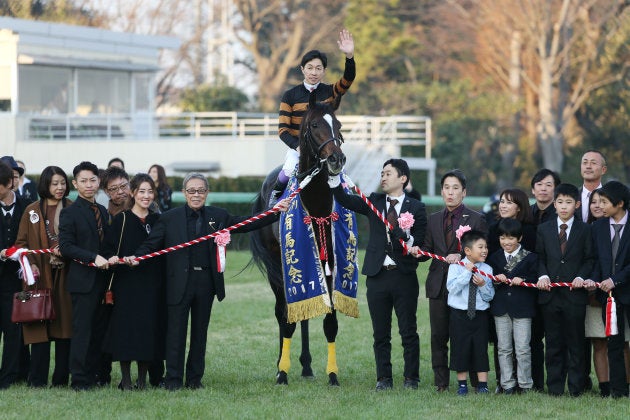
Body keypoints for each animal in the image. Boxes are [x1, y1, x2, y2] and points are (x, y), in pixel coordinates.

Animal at [252, 92, 348, 384]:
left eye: (338, 125)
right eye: (315, 125)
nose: (336, 159)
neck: (315, 202)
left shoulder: (330, 263)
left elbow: (329, 320)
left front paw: (332, 375)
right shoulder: (285, 265)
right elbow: (287, 319)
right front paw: (282, 372)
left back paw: (306, 365)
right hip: (277, 268)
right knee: (282, 312)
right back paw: (281, 364)